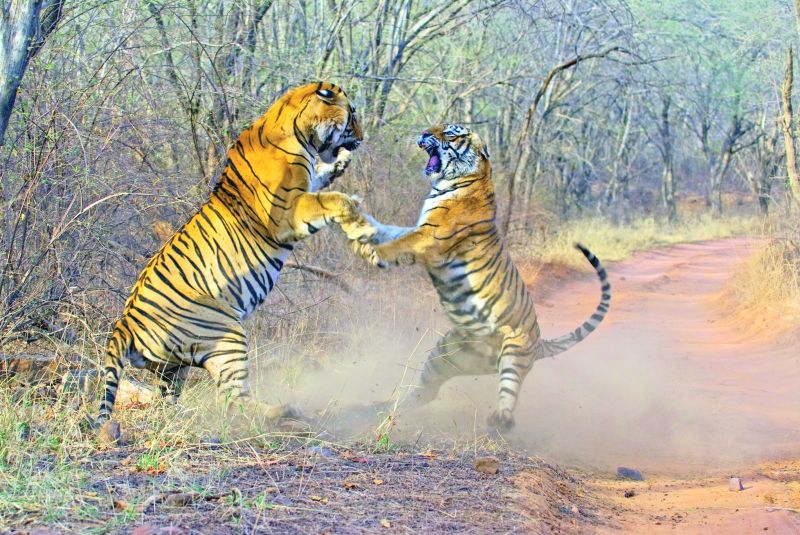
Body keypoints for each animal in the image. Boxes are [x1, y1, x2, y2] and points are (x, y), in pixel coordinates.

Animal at [92, 81, 376, 432]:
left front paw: (340, 164)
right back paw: (283, 411)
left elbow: (322, 177)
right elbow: (332, 199)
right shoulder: (287, 214)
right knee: (232, 402)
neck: (297, 130)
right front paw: (358, 218)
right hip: (227, 335)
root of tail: (124, 323)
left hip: (173, 368)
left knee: (170, 399)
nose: (362, 137)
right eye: (353, 114)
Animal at [356, 124, 612, 432]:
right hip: (444, 355)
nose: (424, 132)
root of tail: (540, 342)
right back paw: (387, 408)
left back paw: (500, 420)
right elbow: (389, 230)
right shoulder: (420, 230)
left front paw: (368, 249)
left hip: (513, 353)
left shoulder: (428, 237)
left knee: (508, 394)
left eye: (450, 133)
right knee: (426, 391)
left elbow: (396, 243)